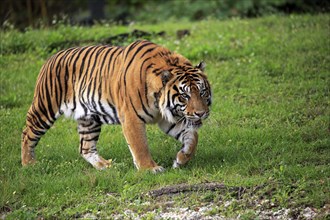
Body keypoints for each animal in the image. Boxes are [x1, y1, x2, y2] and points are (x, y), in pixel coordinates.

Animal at [21, 40, 211, 173]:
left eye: (202, 92)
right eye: (185, 96)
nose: (201, 113)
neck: (159, 102)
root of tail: (51, 57)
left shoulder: (169, 119)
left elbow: (192, 137)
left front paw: (181, 159)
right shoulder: (132, 118)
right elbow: (140, 145)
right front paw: (150, 169)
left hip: (89, 119)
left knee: (85, 148)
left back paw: (106, 166)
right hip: (45, 107)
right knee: (27, 132)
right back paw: (29, 164)